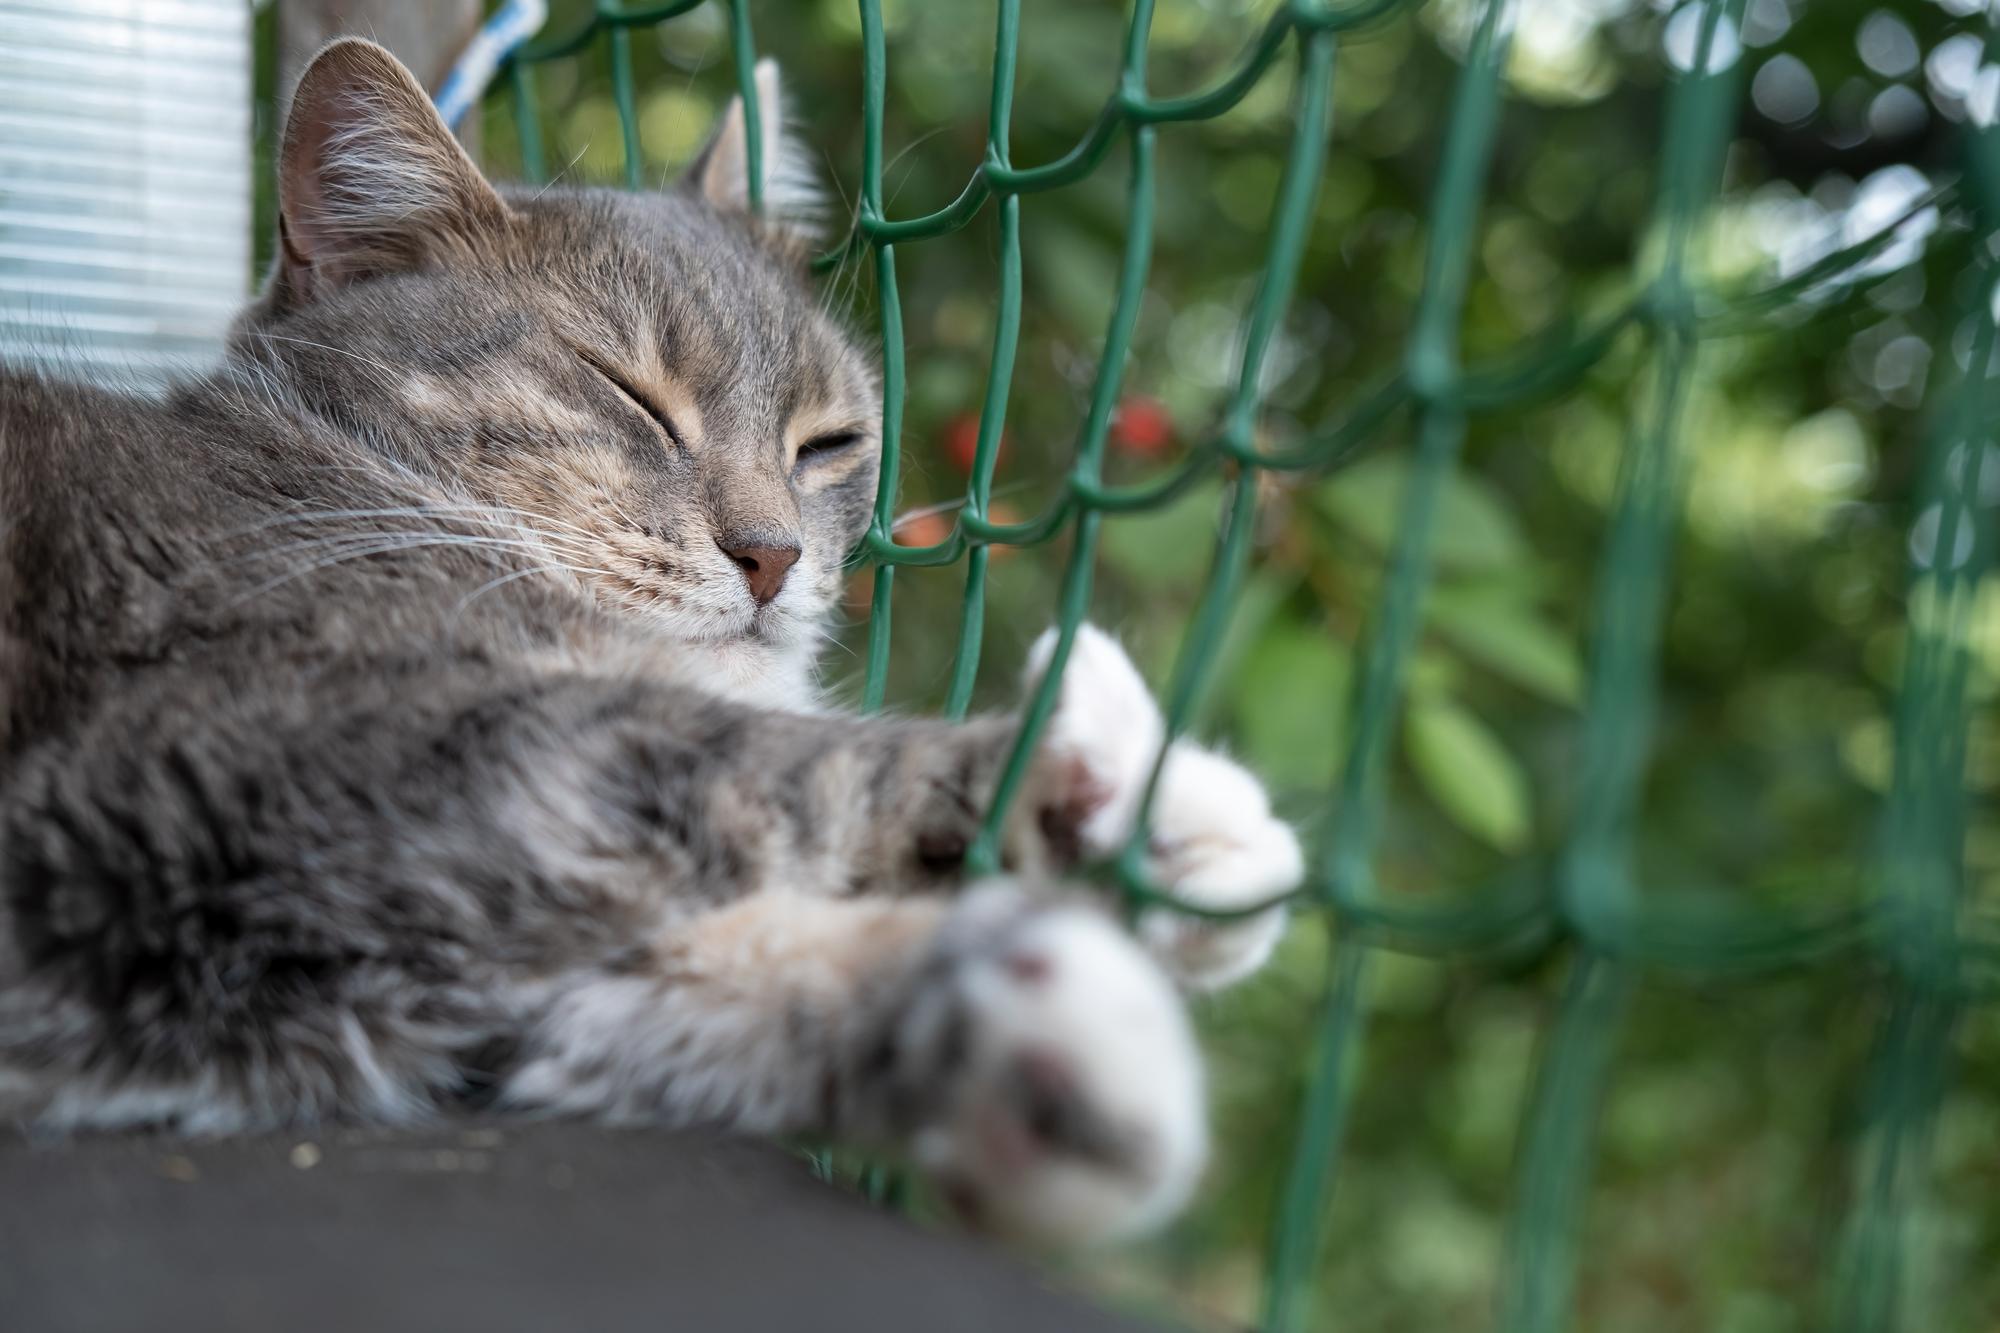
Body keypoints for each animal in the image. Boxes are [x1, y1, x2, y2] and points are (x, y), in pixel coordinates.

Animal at [0, 44, 1304, 1248]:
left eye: (829, 441)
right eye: (626, 393)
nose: (774, 555)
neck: (329, 469)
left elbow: (724, 971)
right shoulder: (266, 767)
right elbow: (752, 757)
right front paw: (1119, 783)